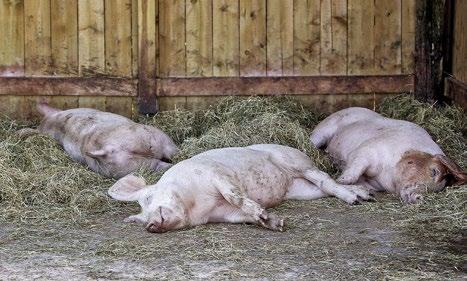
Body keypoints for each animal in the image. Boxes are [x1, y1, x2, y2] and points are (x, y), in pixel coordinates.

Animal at [107, 142, 372, 232]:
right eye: (138, 219)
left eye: (148, 199)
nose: (150, 225)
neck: (196, 205)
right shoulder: (221, 215)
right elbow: (242, 216)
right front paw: (275, 223)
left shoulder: (216, 174)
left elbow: (235, 196)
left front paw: (267, 217)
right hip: (302, 192)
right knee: (325, 187)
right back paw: (365, 196)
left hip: (297, 163)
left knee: (325, 179)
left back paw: (354, 200)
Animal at [308, 106, 466, 202]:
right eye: (434, 171)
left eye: (438, 189)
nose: (420, 197)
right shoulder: (366, 150)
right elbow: (355, 169)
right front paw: (342, 180)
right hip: (324, 129)